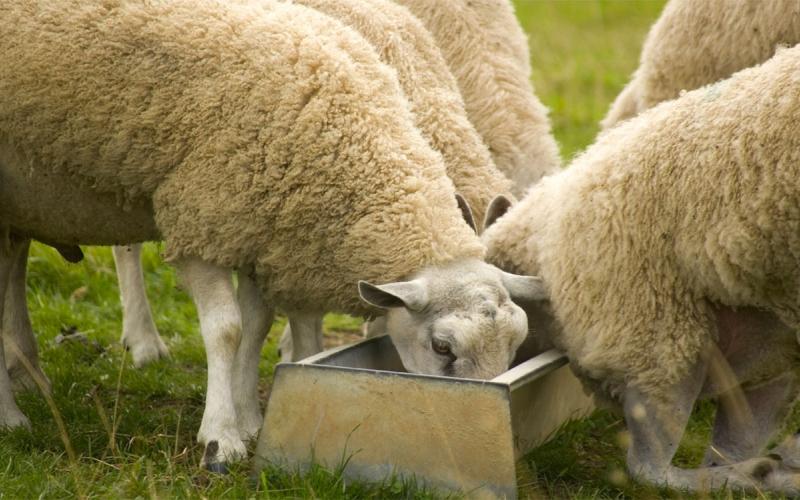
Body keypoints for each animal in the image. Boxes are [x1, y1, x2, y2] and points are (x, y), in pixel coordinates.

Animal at [0, 0, 538, 468]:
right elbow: (227, 329)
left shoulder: (271, 235)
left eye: (518, 343)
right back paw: (28, 408)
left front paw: (252, 418)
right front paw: (221, 438)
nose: (480, 428)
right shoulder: (203, 220)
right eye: (444, 348)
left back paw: (27, 375)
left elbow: (257, 324)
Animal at [482, 46, 800, 495]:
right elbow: (730, 447)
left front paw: (769, 471)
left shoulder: (653, 335)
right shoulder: (769, 358)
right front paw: (773, 470)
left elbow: (656, 468)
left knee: (651, 468)